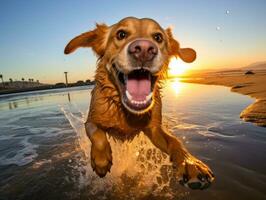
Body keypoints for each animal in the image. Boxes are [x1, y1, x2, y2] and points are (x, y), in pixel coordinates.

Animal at [64, 16, 214, 189]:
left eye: (158, 37)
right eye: (121, 34)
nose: (144, 49)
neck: (125, 110)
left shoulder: (154, 129)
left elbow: (174, 141)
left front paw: (190, 164)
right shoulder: (91, 121)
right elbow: (98, 135)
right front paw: (101, 161)